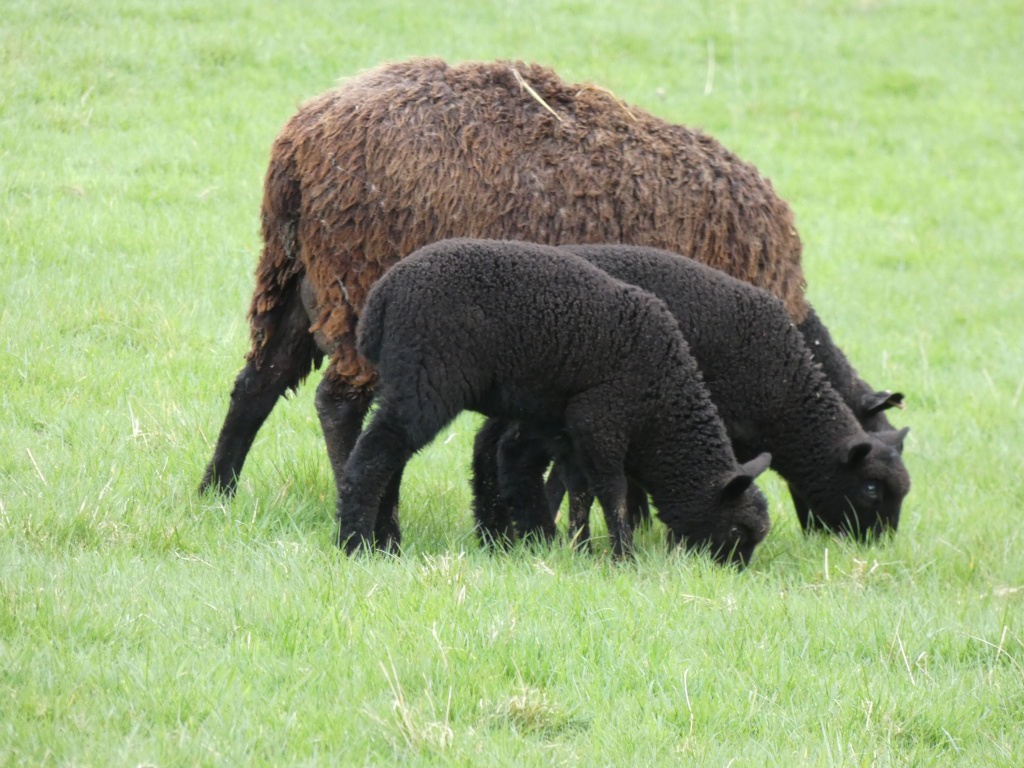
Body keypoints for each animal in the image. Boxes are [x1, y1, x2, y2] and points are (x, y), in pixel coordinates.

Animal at [340, 238, 773, 564]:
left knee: (392, 458)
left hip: (406, 381)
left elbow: (580, 490)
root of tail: (382, 296)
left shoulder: (568, 430)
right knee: (374, 457)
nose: (728, 574)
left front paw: (578, 549)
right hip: (427, 379)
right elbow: (612, 492)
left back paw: (387, 543)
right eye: (737, 531)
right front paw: (624, 558)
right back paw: (355, 544)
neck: (662, 408)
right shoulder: (602, 421)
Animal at [472, 244, 911, 547]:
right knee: (513, 452)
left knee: (494, 446)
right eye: (871, 489)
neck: (785, 391)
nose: (876, 547)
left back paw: (499, 532)